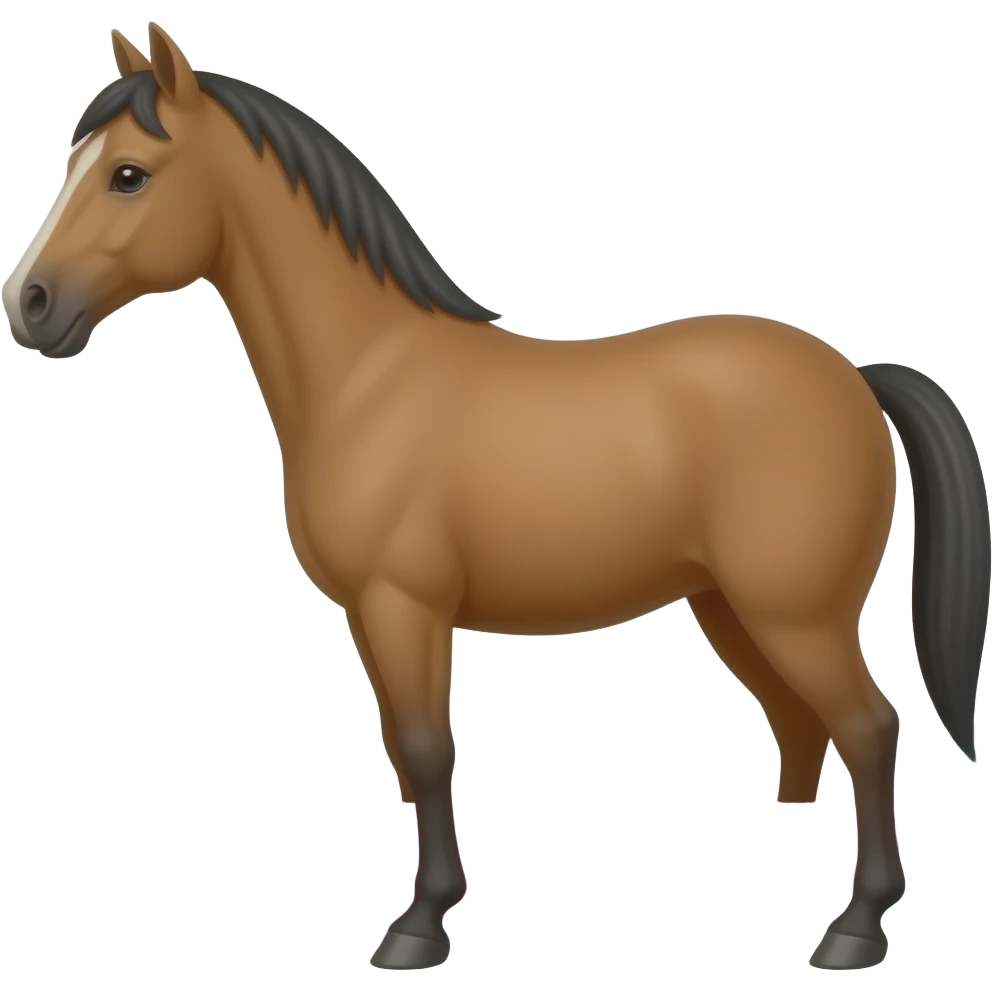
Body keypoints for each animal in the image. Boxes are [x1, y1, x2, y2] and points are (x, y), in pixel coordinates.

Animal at [2, 22, 987, 973]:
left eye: (129, 174)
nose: (31, 305)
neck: (370, 377)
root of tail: (854, 377)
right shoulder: (375, 617)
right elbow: (405, 755)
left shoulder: (403, 606)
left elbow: (427, 753)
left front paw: (418, 929)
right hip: (732, 609)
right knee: (800, 723)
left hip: (797, 614)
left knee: (868, 728)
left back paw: (856, 930)